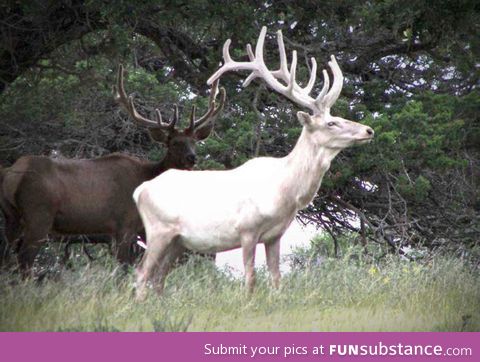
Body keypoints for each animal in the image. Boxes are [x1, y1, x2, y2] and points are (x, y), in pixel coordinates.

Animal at [0, 65, 225, 274]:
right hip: (39, 213)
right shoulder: (125, 224)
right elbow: (124, 268)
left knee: (7, 257)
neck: (148, 178)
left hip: (12, 216)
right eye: (175, 143)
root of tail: (13, 175)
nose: (192, 158)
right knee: (24, 262)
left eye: (194, 142)